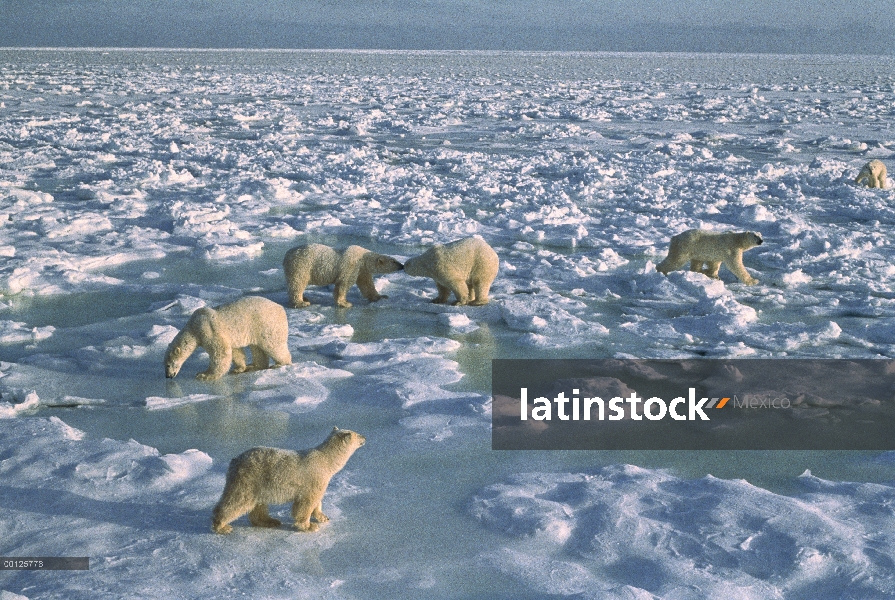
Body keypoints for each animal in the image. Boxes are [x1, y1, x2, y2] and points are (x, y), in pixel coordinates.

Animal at [160, 296, 288, 380]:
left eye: (168, 364)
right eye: (164, 364)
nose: (168, 376)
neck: (193, 326)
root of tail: (281, 308)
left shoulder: (208, 329)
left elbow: (220, 351)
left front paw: (204, 374)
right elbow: (235, 351)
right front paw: (239, 368)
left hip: (265, 324)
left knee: (273, 344)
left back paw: (280, 363)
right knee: (257, 347)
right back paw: (254, 366)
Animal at [212, 426, 366, 536]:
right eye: (357, 434)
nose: (365, 437)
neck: (326, 460)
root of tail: (235, 461)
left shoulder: (319, 481)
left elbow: (317, 500)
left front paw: (323, 517)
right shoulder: (313, 479)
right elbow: (306, 503)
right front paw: (309, 526)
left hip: (259, 484)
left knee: (258, 504)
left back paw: (270, 521)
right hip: (248, 479)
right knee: (237, 501)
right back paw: (222, 526)